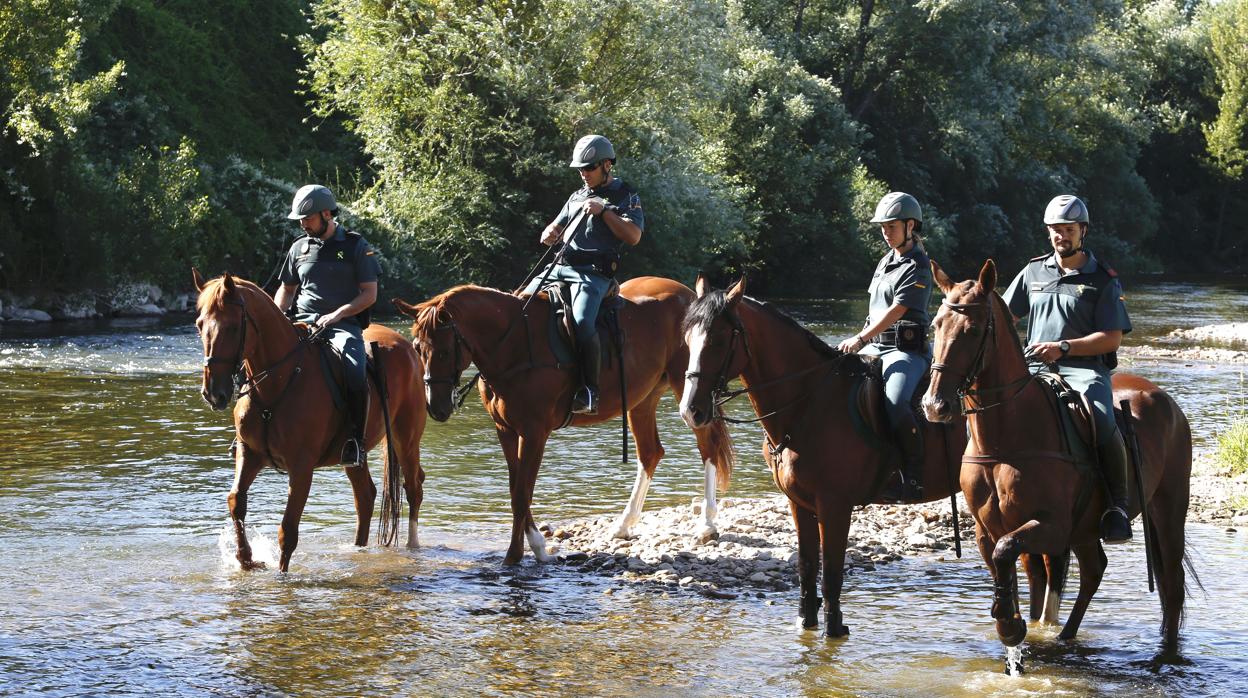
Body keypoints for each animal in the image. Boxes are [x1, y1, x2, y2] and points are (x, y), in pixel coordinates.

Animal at [193, 270, 429, 571]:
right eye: (200, 325)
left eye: (233, 328)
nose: (213, 392)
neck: (276, 385)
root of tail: (406, 347)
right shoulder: (250, 453)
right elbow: (236, 500)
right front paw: (247, 559)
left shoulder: (301, 466)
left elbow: (288, 530)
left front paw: (282, 575)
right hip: (355, 453)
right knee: (365, 496)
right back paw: (357, 549)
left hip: (405, 438)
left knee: (413, 487)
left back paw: (412, 546)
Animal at [394, 275, 733, 564]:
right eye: (417, 348)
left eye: (443, 350)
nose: (436, 407)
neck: (513, 344)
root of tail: (687, 294)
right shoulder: (506, 430)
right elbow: (515, 487)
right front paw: (536, 546)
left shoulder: (534, 433)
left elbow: (522, 493)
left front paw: (516, 556)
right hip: (642, 399)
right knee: (650, 453)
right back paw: (624, 525)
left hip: (689, 391)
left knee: (708, 446)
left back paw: (706, 524)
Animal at [673, 275, 973, 636]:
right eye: (687, 339)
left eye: (718, 339)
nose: (691, 410)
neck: (809, 403)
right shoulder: (799, 504)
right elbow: (806, 566)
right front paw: (806, 620)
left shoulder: (835, 506)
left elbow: (831, 573)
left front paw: (834, 628)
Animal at [923, 260, 1193, 654]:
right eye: (936, 325)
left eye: (972, 330)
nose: (934, 405)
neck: (1002, 442)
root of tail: (1166, 402)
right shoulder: (988, 531)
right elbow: (1010, 569)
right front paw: (1014, 623)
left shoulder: (1050, 526)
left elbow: (1008, 554)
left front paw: (1009, 626)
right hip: (1087, 527)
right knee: (1093, 568)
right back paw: (1064, 635)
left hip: (1168, 509)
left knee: (1171, 587)